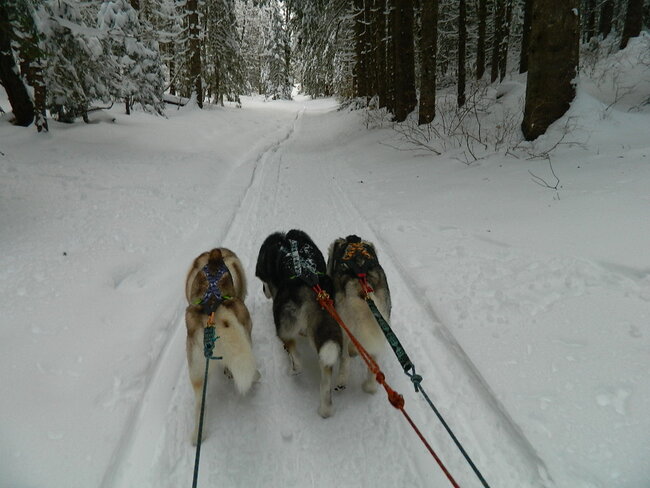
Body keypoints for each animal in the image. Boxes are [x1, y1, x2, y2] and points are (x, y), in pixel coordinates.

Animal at [254, 231, 344, 418]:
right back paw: (325, 410)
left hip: (283, 327)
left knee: (295, 355)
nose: (264, 291)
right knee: (325, 381)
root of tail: (309, 292)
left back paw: (293, 369)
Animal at [324, 235, 390, 392]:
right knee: (374, 362)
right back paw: (370, 386)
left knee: (344, 358)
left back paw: (341, 380)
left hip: (343, 325)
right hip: (380, 325)